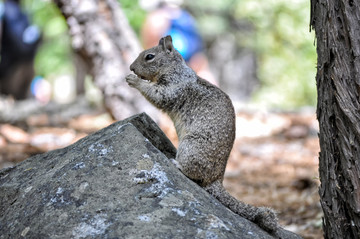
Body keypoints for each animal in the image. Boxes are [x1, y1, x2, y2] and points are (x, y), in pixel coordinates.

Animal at [126, 35, 278, 232]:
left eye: (149, 56)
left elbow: (157, 95)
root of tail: (216, 179)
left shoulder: (174, 87)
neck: (175, 69)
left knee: (194, 174)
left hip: (190, 147)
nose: (131, 68)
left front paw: (134, 80)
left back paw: (177, 164)